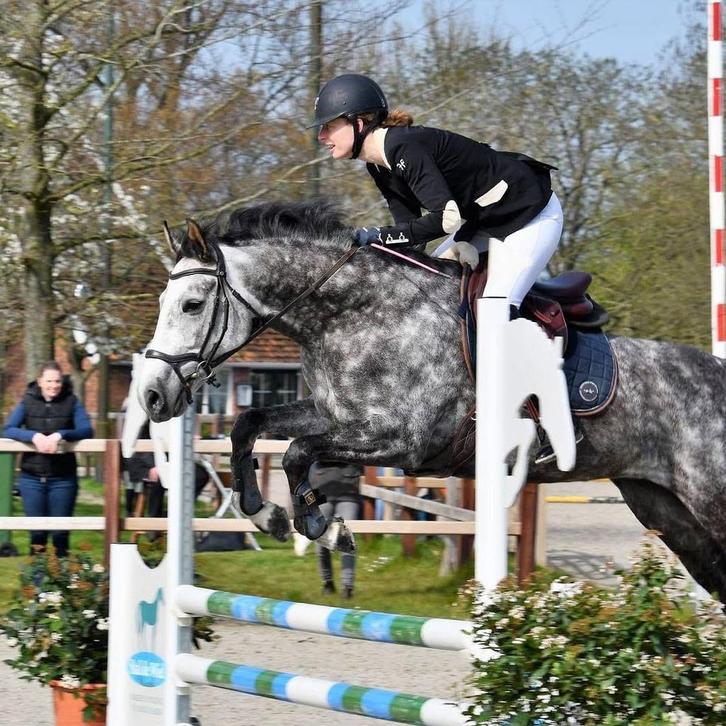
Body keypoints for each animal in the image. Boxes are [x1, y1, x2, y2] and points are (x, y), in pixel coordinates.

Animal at [138, 200, 726, 603]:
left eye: (192, 305)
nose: (152, 395)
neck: (352, 314)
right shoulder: (335, 417)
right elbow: (249, 425)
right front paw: (269, 516)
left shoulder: (404, 442)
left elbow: (297, 453)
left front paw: (322, 525)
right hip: (666, 511)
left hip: (708, 499)